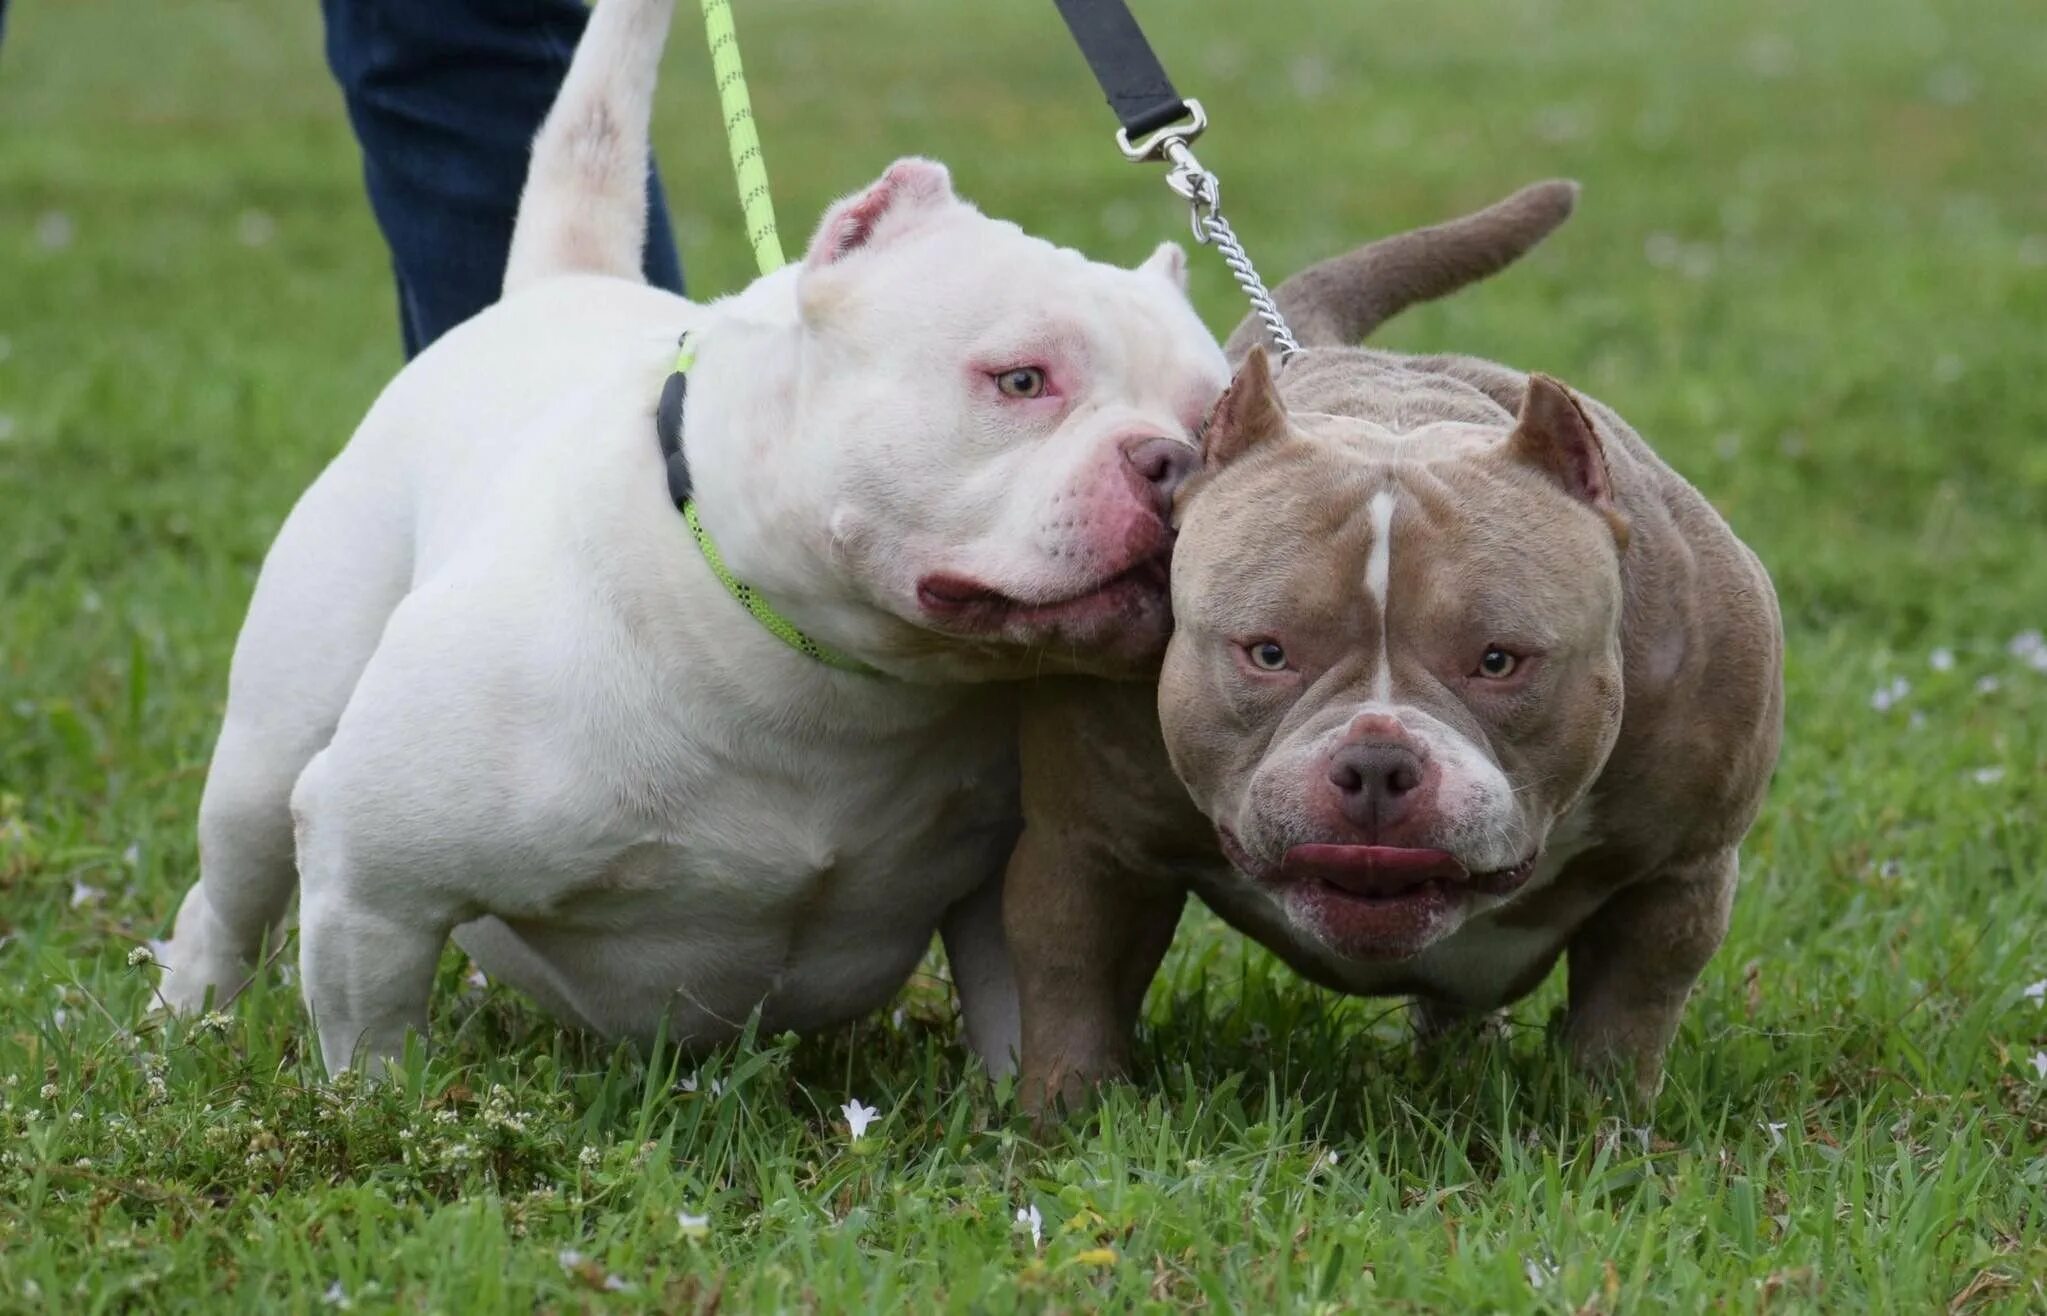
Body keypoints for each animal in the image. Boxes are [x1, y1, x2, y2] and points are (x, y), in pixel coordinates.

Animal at [163, 0, 1211, 1072]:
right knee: (225, 904)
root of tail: (558, 284)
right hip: (269, 759)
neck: (834, 681)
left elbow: (1029, 1019)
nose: (1170, 460)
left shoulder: (1005, 893)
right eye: (1020, 380)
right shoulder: (373, 874)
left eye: (1215, 419)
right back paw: (181, 1027)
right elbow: (374, 1051)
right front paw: (378, 1106)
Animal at [1007, 185, 1776, 1113]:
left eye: (1497, 661)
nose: (1376, 763)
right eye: (1267, 654)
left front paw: (1604, 1128)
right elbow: (1068, 998)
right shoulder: (1086, 847)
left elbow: (1623, 1029)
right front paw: (1062, 1123)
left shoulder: (1680, 875)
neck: (1395, 417)